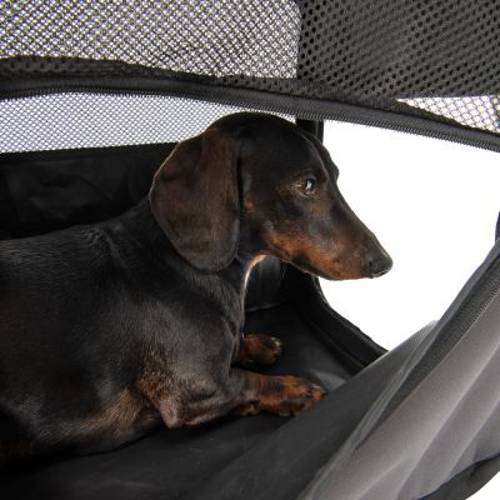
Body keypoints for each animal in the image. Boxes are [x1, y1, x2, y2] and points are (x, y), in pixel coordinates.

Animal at [0, 113, 392, 464]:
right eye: (308, 184)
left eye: (336, 177)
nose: (384, 263)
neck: (182, 265)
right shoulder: (194, 391)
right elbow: (246, 382)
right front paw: (293, 389)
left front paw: (253, 345)